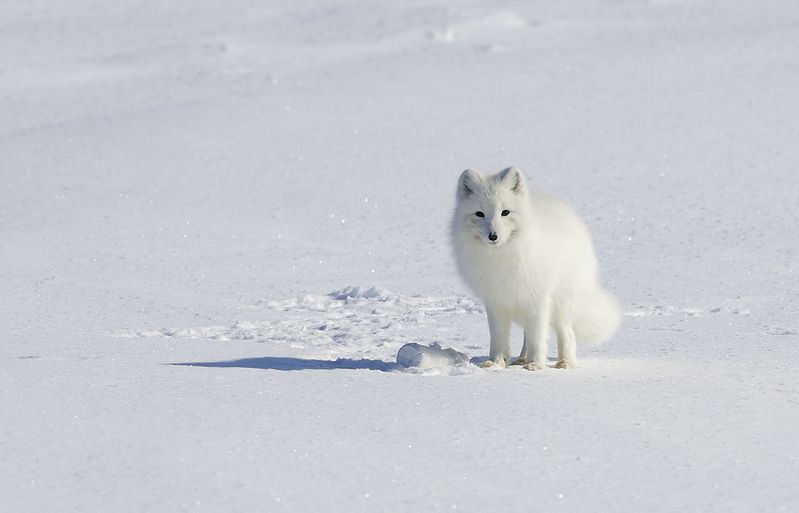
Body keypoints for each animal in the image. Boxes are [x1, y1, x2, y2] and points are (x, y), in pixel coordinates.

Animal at [452, 166, 620, 370]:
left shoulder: (538, 297)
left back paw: (565, 362)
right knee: (527, 334)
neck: (502, 255)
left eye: (505, 212)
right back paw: (521, 359)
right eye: (479, 214)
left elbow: (537, 337)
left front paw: (535, 365)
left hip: (560, 303)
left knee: (566, 333)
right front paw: (496, 363)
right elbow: (499, 338)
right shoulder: (496, 301)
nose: (493, 236)